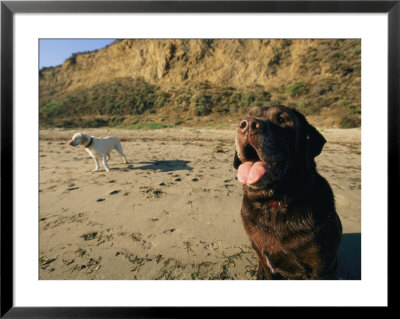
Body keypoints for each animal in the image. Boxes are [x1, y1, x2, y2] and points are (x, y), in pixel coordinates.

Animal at [236, 105, 342, 280]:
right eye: (248, 116)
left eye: (282, 119)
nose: (247, 125)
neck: (274, 203)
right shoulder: (264, 259)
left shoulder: (320, 270)